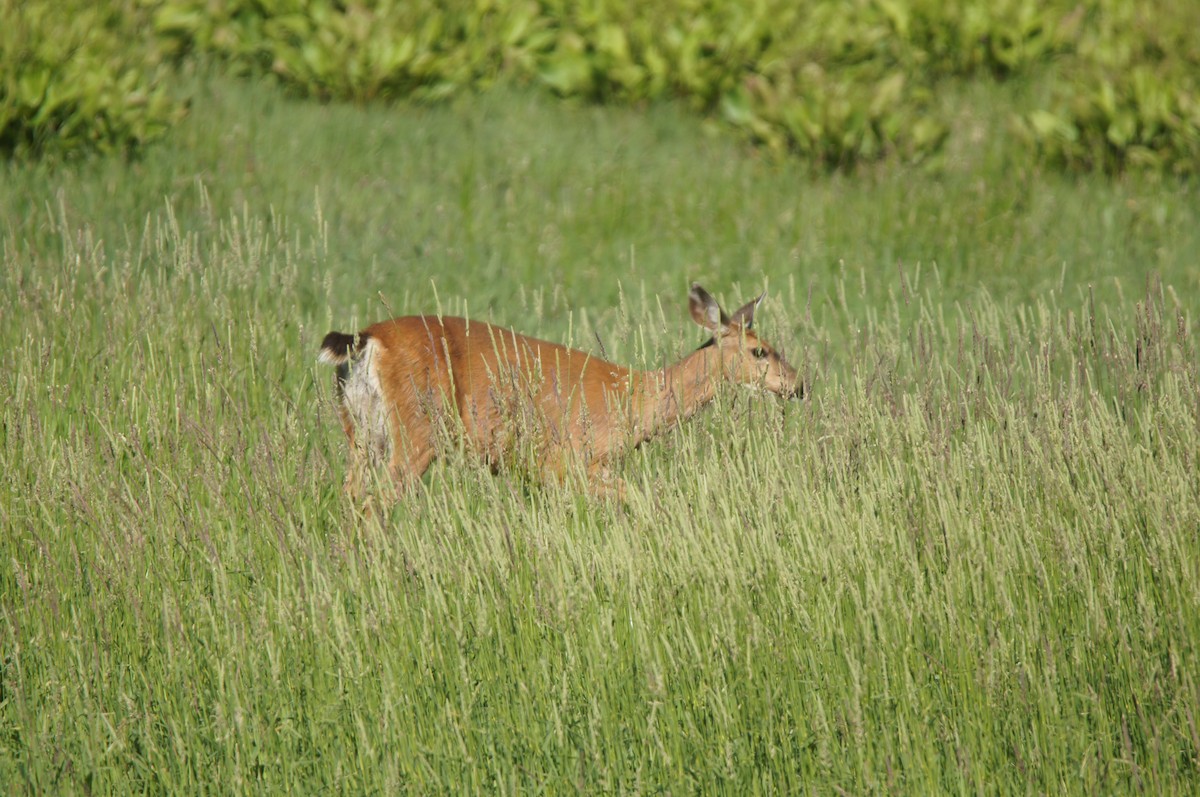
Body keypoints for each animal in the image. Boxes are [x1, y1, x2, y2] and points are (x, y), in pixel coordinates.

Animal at [318, 283, 800, 502]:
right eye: (760, 351)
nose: (798, 385)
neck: (632, 398)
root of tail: (366, 340)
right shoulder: (571, 460)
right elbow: (638, 499)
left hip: (360, 432)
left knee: (350, 496)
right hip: (415, 429)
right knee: (375, 501)